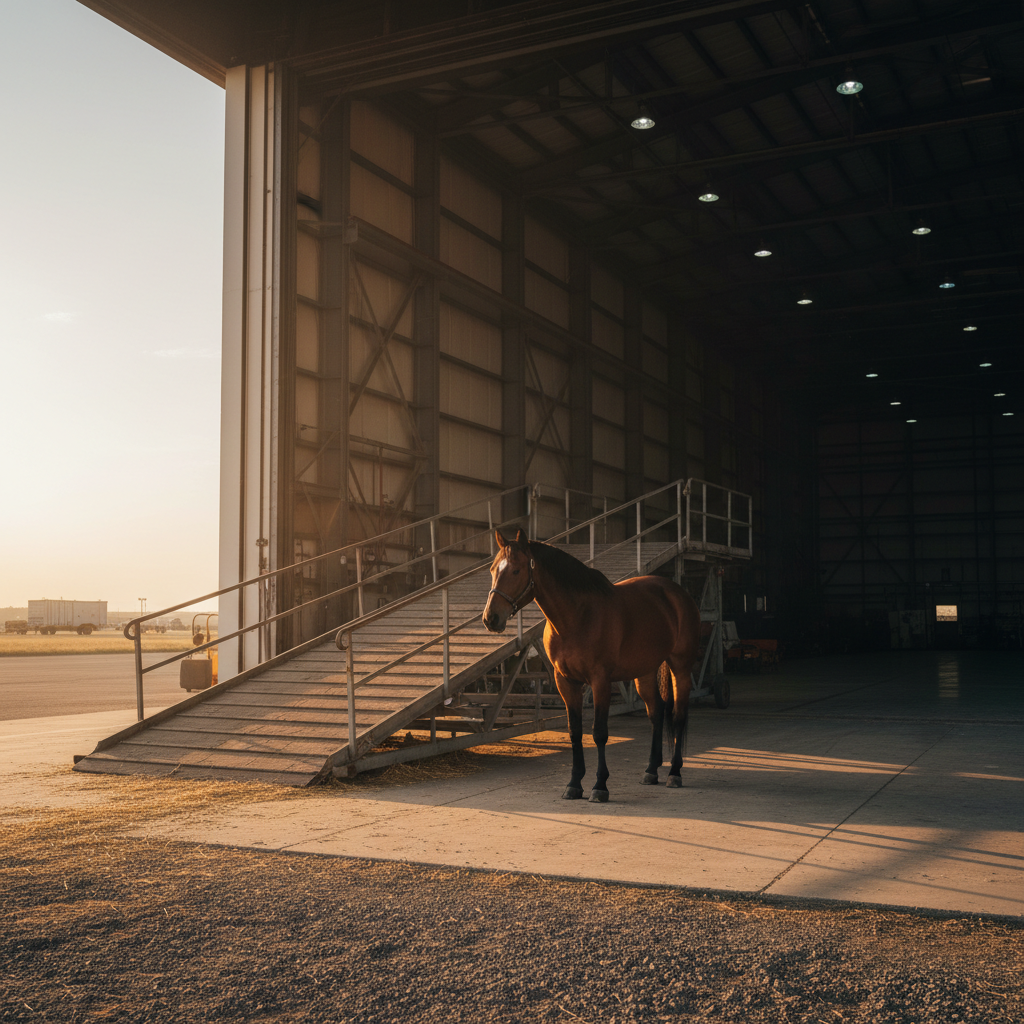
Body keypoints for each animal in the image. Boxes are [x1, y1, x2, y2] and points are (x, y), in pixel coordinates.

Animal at [481, 528, 701, 803]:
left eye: (516, 570)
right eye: (492, 569)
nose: (490, 618)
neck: (577, 617)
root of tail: (678, 594)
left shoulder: (600, 681)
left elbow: (599, 732)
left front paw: (600, 786)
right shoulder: (566, 682)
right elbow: (575, 732)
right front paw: (574, 785)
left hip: (680, 667)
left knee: (678, 716)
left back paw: (674, 773)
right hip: (645, 673)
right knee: (656, 712)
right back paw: (651, 771)